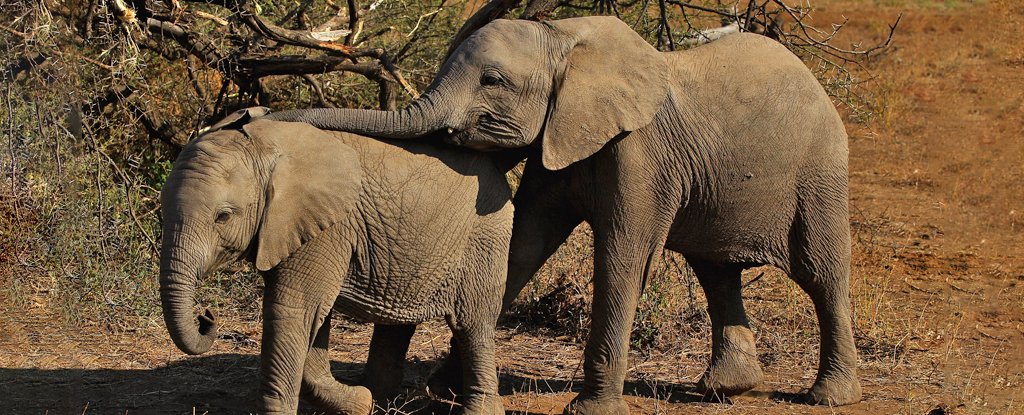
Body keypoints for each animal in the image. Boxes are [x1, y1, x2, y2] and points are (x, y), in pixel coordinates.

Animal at [156, 117, 512, 411]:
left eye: (223, 216)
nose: (206, 315)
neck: (267, 147)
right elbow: (313, 318)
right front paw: (359, 402)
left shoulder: (324, 227)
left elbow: (291, 310)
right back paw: (379, 399)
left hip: (484, 238)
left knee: (473, 324)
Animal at [260, 15, 860, 409]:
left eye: (492, 81)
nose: (256, 115)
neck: (565, 40)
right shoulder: (560, 136)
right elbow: (526, 242)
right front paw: (446, 385)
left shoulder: (639, 150)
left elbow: (623, 255)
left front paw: (592, 408)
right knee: (716, 270)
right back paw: (724, 389)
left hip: (821, 169)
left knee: (820, 271)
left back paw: (829, 396)